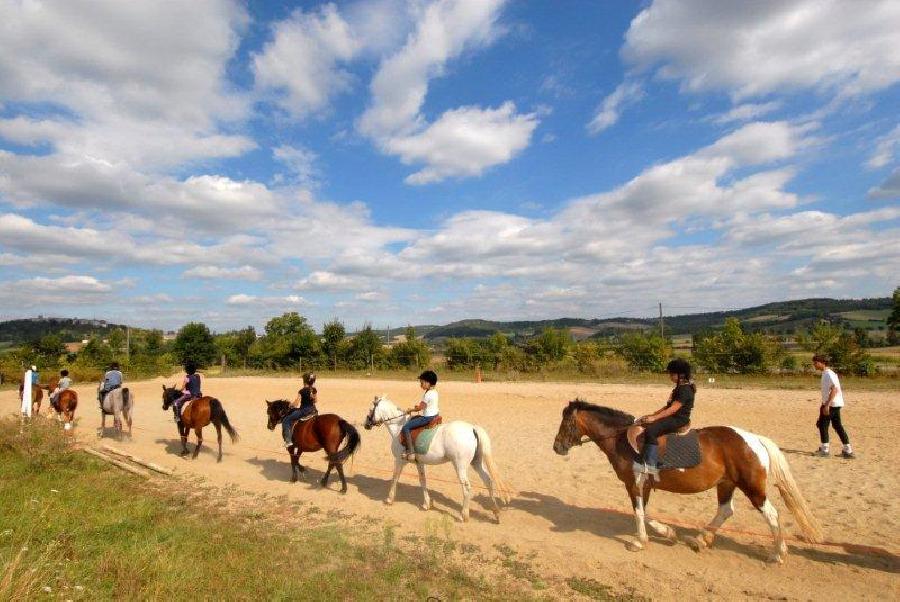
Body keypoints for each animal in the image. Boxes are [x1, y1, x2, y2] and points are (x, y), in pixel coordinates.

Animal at [362, 394, 510, 520]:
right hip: (476, 463)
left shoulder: (399, 460)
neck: (398, 427)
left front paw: (389, 499)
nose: (366, 424)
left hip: (460, 466)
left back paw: (464, 515)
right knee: (488, 481)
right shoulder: (419, 462)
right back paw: (496, 512)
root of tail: (472, 428)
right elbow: (423, 481)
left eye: (371, 409)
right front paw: (426, 504)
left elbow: (395, 478)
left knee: (467, 487)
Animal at [548, 398, 824, 564]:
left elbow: (639, 512)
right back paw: (701, 539)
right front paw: (667, 533)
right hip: (726, 483)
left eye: (566, 422)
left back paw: (778, 554)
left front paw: (640, 542)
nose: (557, 448)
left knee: (772, 514)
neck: (621, 440)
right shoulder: (644, 485)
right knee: (725, 510)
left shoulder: (634, 484)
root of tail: (753, 438)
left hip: (752, 487)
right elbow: (645, 512)